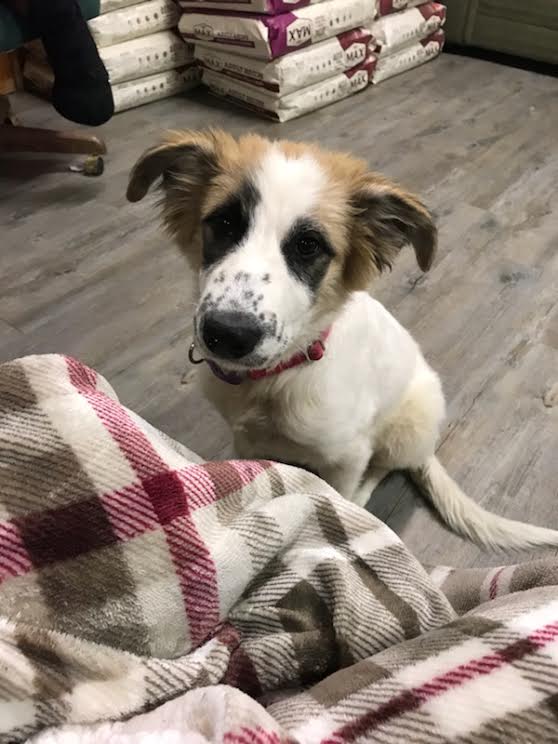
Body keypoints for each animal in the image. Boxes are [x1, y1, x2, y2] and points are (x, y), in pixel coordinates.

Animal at [127, 129, 558, 551]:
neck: (282, 374)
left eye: (308, 246)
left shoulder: (347, 456)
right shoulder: (246, 438)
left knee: (384, 467)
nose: (228, 334)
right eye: (225, 223)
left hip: (409, 423)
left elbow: (337, 494)